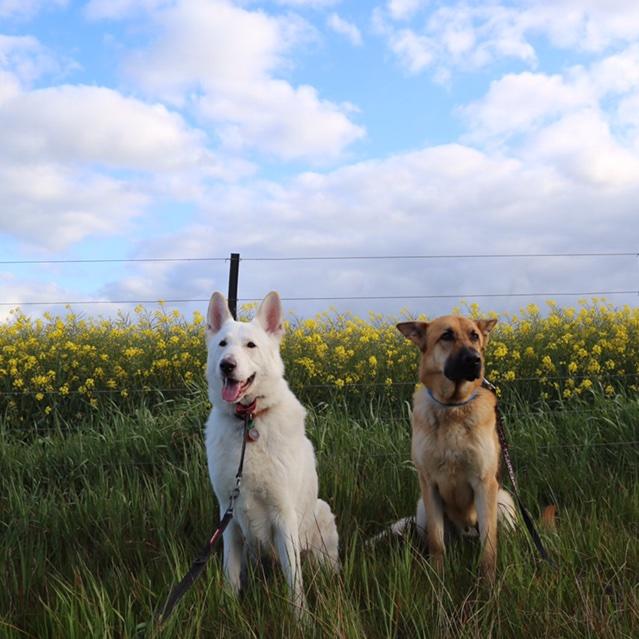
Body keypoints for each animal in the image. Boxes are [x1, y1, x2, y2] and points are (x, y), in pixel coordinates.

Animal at [205, 292, 340, 616]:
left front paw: (300, 619)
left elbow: (294, 581)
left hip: (321, 518)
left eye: (250, 345)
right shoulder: (227, 517)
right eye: (222, 344)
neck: (248, 423)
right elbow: (230, 574)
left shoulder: (283, 516)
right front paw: (229, 609)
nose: (227, 365)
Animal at [398, 318, 516, 584]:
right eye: (446, 336)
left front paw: (488, 585)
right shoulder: (429, 484)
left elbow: (489, 545)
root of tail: (466, 534)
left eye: (474, 336)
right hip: (422, 508)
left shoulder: (484, 483)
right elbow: (436, 543)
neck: (452, 407)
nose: (475, 360)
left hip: (503, 500)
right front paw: (438, 579)